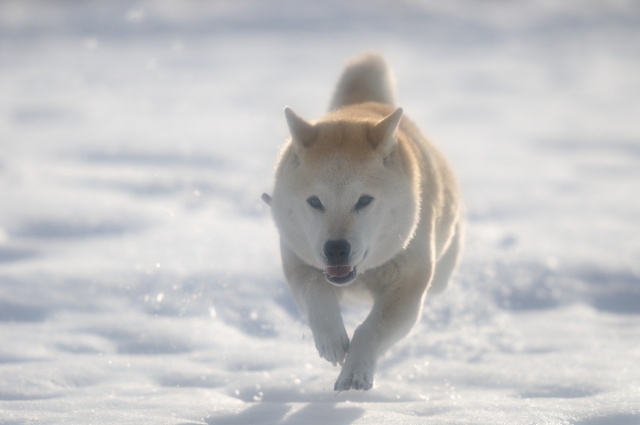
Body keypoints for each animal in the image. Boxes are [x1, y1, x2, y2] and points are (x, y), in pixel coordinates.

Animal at [262, 53, 462, 390]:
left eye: (364, 201)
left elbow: (370, 330)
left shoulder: (408, 288)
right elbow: (316, 291)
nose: (336, 250)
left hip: (441, 276)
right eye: (315, 202)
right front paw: (331, 340)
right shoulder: (299, 262)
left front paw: (354, 373)